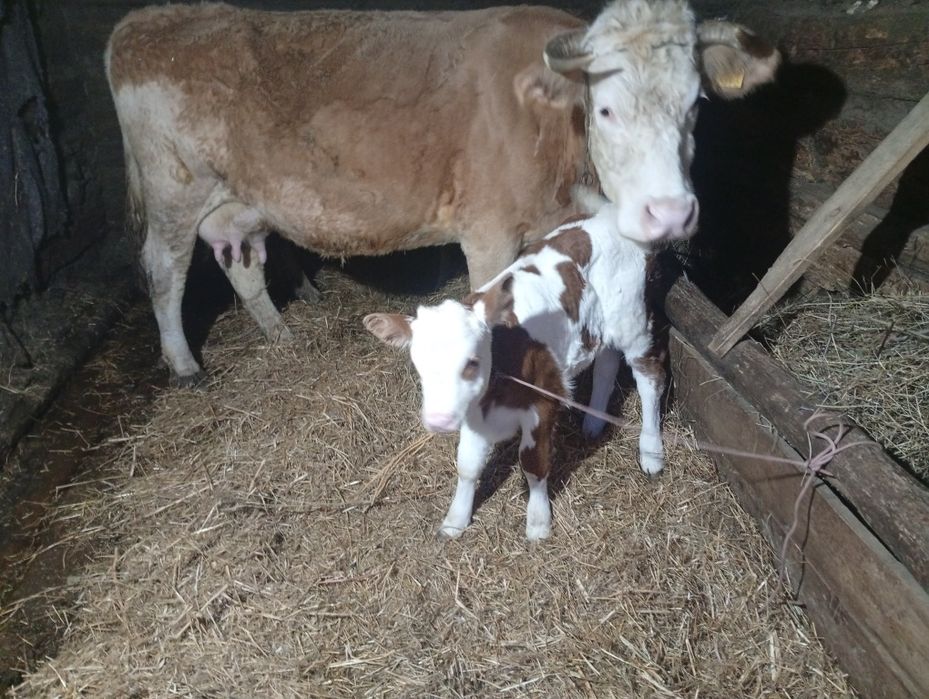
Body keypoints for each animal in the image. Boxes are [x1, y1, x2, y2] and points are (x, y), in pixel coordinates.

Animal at [105, 0, 779, 386]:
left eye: (695, 104)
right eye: (606, 108)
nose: (669, 212)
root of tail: (146, 19)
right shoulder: (488, 232)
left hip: (240, 203)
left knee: (243, 266)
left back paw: (281, 336)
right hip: (174, 189)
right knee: (163, 270)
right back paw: (184, 365)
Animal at [364, 193, 667, 540]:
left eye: (472, 361)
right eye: (420, 366)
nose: (439, 421)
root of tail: (607, 215)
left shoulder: (544, 400)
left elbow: (533, 463)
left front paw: (538, 522)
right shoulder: (472, 411)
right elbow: (467, 465)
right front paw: (456, 519)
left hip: (633, 320)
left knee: (649, 375)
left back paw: (651, 451)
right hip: (600, 327)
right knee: (606, 363)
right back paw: (594, 422)